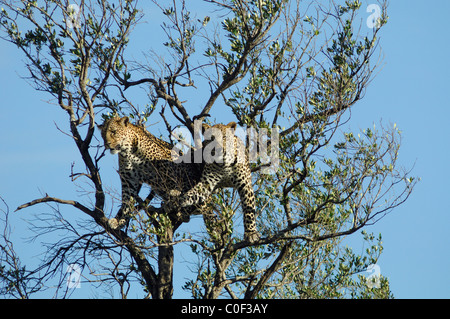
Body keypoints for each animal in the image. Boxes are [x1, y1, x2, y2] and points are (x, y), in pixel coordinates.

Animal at [98, 116, 260, 244]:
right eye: (104, 134)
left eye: (113, 132)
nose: (107, 144)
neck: (127, 153)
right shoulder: (129, 181)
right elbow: (126, 201)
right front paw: (119, 220)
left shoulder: (169, 166)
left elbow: (249, 209)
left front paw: (251, 233)